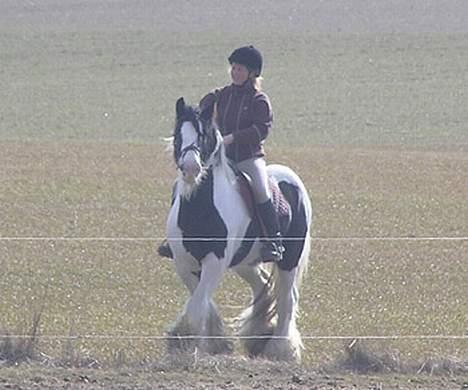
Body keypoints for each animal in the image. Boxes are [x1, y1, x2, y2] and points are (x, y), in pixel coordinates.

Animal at [163, 96, 312, 362]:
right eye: (178, 134)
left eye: (203, 135)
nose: (191, 167)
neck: (199, 209)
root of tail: (292, 178)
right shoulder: (184, 262)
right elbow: (201, 301)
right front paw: (214, 341)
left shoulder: (215, 261)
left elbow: (198, 305)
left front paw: (190, 343)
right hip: (245, 262)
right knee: (262, 285)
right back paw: (260, 333)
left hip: (289, 260)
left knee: (287, 299)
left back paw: (280, 349)